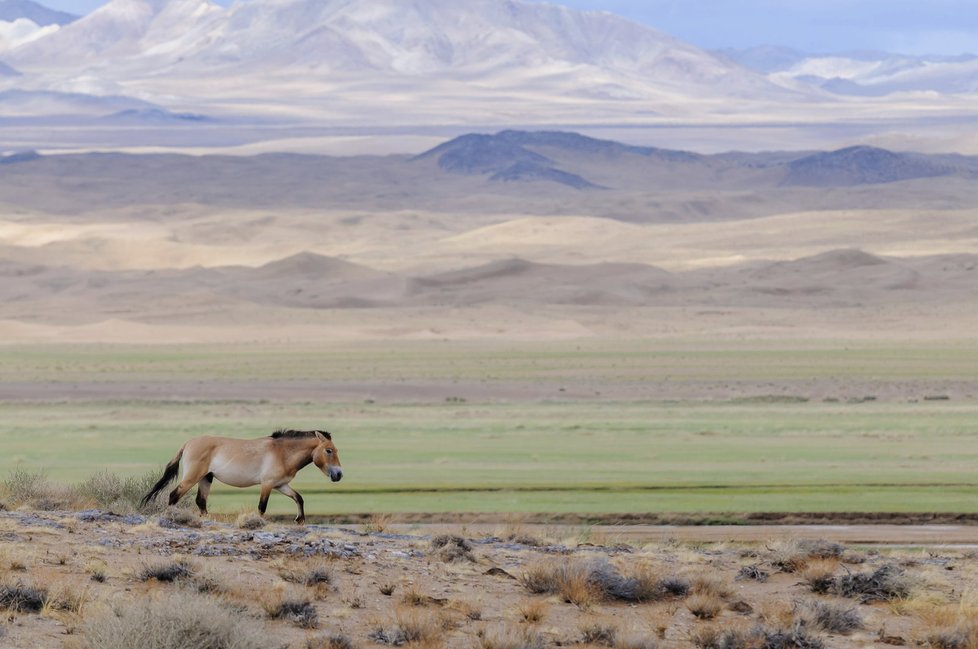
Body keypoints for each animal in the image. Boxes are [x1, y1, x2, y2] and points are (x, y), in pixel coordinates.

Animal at [139, 428, 342, 524]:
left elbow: (299, 498)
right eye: (329, 450)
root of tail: (188, 443)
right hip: (192, 477)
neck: (282, 452)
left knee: (201, 501)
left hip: (206, 478)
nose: (339, 474)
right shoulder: (267, 484)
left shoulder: (281, 485)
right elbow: (261, 507)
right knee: (174, 495)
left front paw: (299, 520)